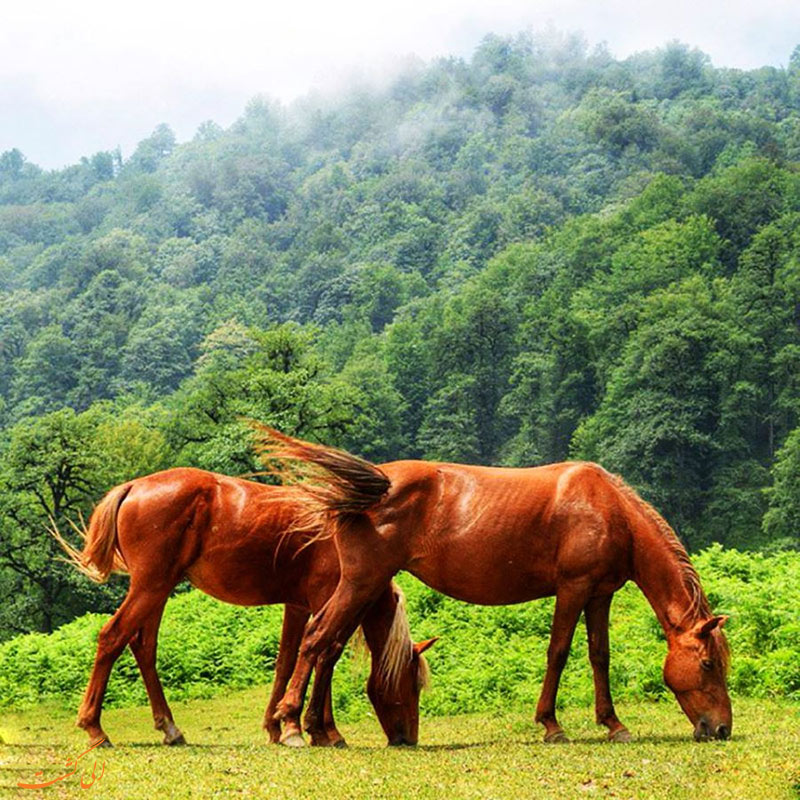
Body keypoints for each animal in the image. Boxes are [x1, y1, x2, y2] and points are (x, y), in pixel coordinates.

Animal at [54, 468, 438, 752]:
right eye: (411, 683)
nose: (408, 738)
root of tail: (133, 486)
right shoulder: (323, 603)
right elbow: (324, 656)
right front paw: (317, 730)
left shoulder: (298, 606)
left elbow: (288, 662)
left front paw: (278, 726)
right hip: (150, 588)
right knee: (112, 637)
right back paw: (95, 729)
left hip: (156, 590)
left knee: (143, 647)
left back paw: (170, 728)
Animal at [260, 432, 736, 744]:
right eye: (708, 664)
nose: (721, 728)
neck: (609, 510)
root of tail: (370, 486)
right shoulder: (573, 588)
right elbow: (559, 652)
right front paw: (552, 725)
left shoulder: (601, 594)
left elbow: (599, 656)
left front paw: (614, 725)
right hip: (361, 583)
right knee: (318, 639)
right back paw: (292, 725)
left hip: (365, 586)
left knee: (330, 647)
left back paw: (321, 731)